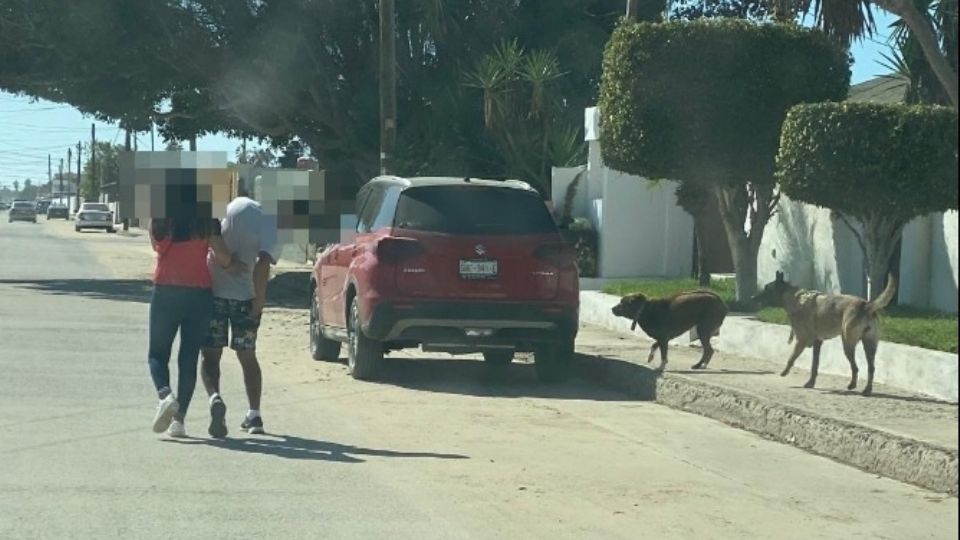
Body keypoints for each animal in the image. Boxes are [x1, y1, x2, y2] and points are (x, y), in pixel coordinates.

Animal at [752, 272, 896, 394]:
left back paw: (852, 385)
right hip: (869, 345)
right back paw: (867, 389)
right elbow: (814, 366)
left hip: (848, 344)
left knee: (855, 367)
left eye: (767, 289)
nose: (752, 297)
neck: (795, 298)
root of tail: (866, 305)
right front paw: (810, 383)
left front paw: (785, 372)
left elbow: (791, 358)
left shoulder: (801, 341)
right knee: (871, 368)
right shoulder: (817, 343)